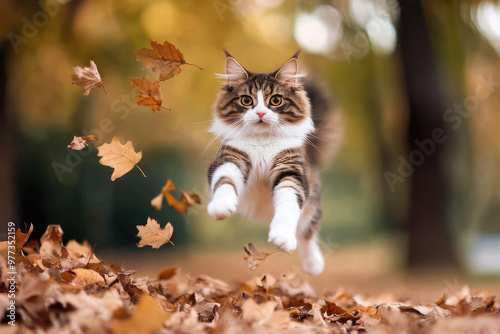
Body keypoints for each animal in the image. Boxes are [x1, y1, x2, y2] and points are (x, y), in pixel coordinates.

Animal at [206, 49, 340, 274]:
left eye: (275, 100)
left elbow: (287, 205)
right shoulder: (231, 158)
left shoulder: (291, 171)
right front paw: (221, 206)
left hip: (312, 204)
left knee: (307, 231)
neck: (262, 142)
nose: (260, 113)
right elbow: (225, 182)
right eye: (246, 100)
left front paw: (282, 237)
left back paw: (313, 264)